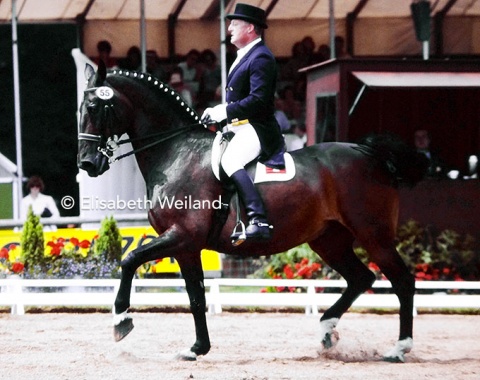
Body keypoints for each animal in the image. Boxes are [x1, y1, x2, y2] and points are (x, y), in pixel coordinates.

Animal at [78, 61, 428, 362]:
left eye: (94, 108)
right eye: (80, 109)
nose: (87, 164)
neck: (176, 152)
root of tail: (368, 152)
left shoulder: (181, 236)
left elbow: (129, 260)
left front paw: (121, 320)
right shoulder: (186, 246)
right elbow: (196, 297)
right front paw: (197, 348)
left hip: (373, 234)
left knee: (402, 281)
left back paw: (399, 349)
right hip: (329, 240)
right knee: (361, 277)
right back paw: (327, 331)